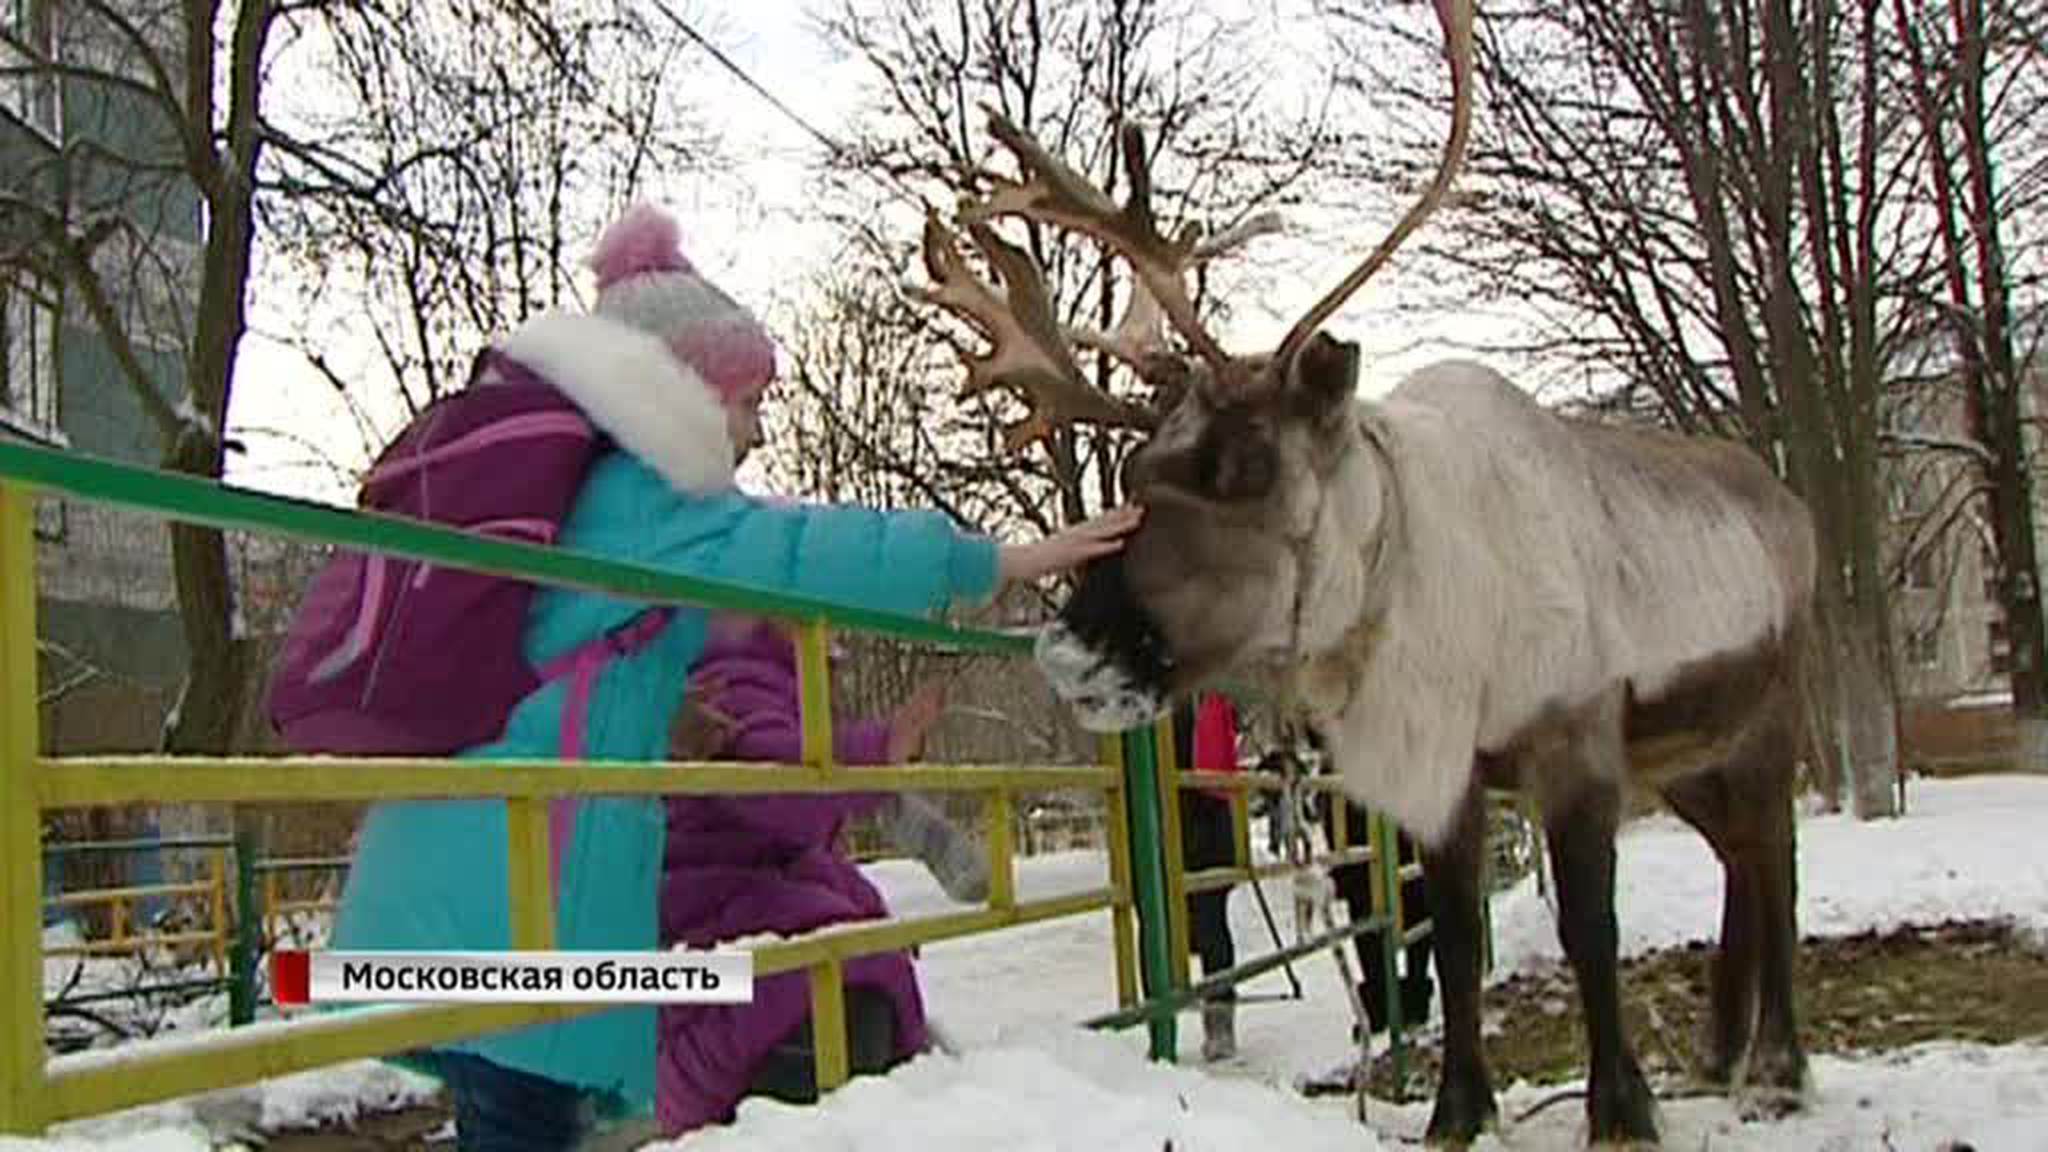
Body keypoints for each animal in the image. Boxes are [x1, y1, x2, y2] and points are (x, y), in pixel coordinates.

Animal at [908, 0, 1817, 1146]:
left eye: (1243, 464)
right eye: (1134, 468)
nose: (1068, 654)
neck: (1421, 582)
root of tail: (1787, 500)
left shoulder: (1575, 742)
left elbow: (1589, 928)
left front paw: (1619, 1111)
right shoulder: (1450, 777)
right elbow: (1458, 937)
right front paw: (1455, 1112)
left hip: (1767, 715)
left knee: (1774, 857)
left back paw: (1776, 1067)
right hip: (1686, 754)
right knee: (1739, 856)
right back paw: (1717, 1050)